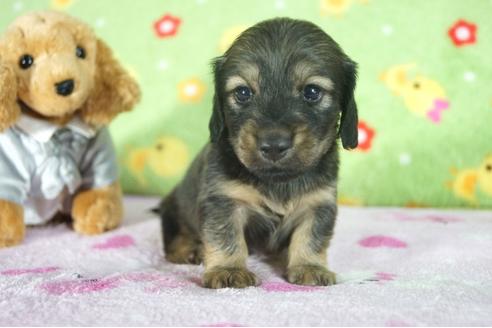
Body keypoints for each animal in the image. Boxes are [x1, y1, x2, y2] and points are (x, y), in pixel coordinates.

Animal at [158, 18, 358, 288]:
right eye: (243, 92)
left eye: (312, 92)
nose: (273, 144)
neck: (278, 180)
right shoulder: (224, 200)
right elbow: (226, 236)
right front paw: (228, 270)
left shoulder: (318, 202)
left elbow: (311, 235)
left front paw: (310, 266)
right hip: (173, 210)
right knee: (174, 237)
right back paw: (188, 249)